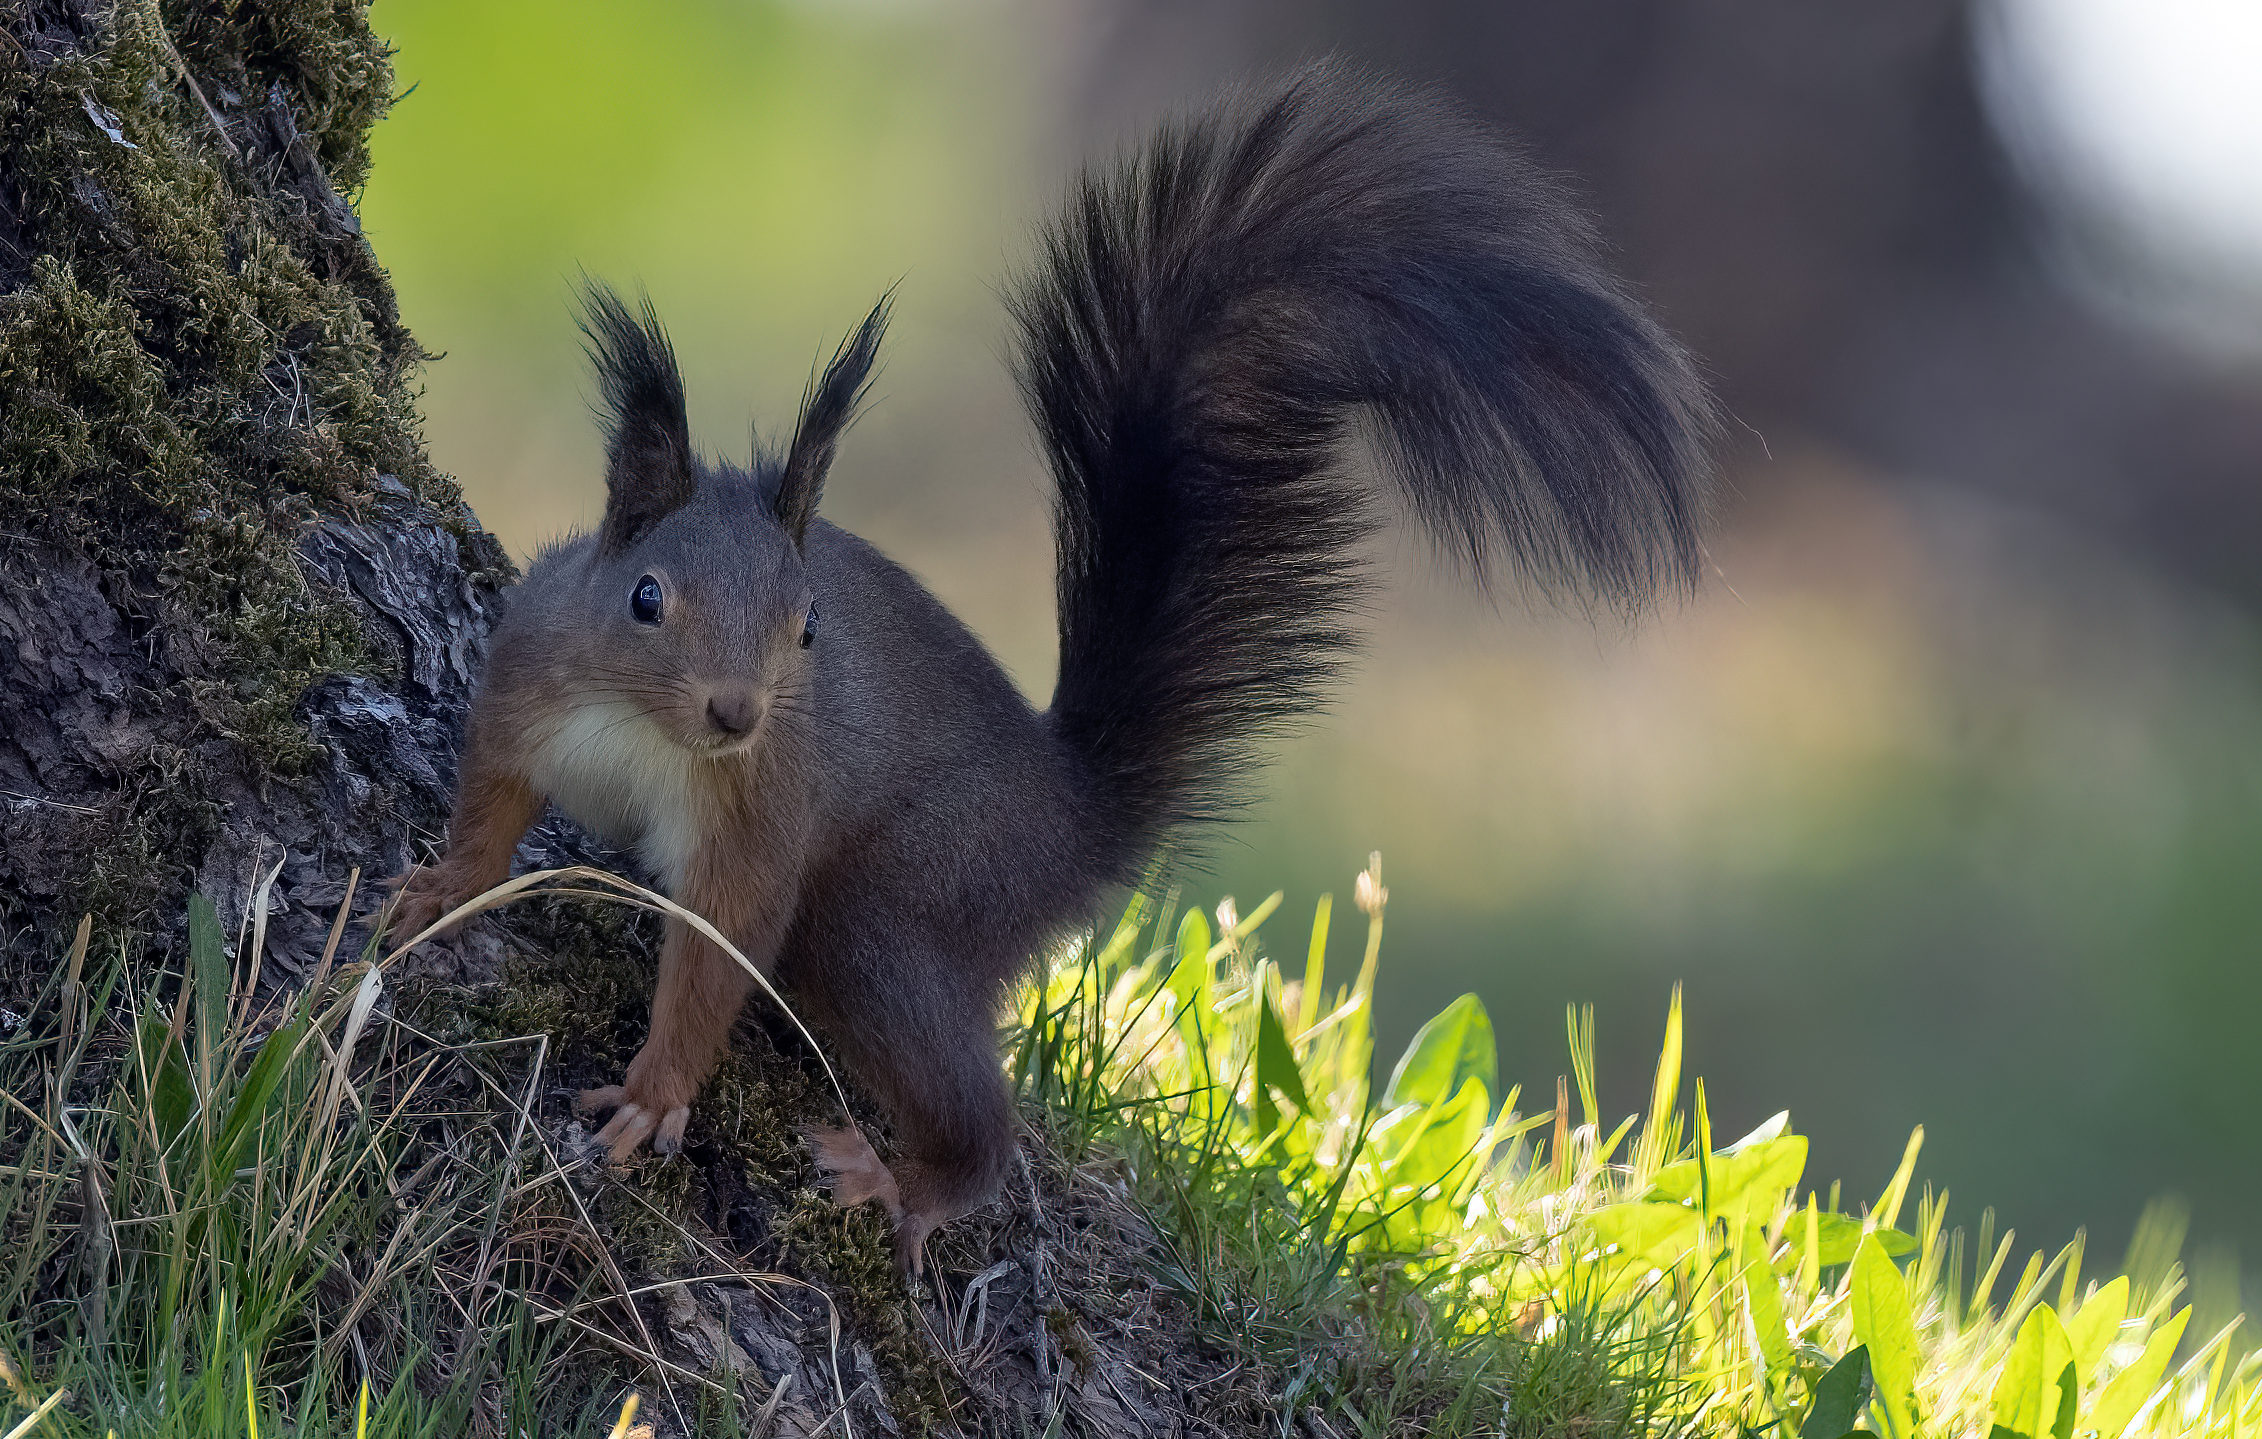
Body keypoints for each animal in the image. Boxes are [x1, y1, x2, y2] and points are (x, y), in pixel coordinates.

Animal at [388, 63, 1713, 1274]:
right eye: (646, 598)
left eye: (810, 626)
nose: (737, 710)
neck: (646, 731)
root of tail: (1076, 812)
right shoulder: (528, 677)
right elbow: (493, 794)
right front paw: (442, 885)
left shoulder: (760, 812)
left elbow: (720, 944)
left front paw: (659, 1092)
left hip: (910, 900)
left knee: (969, 1096)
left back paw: (910, 1182)